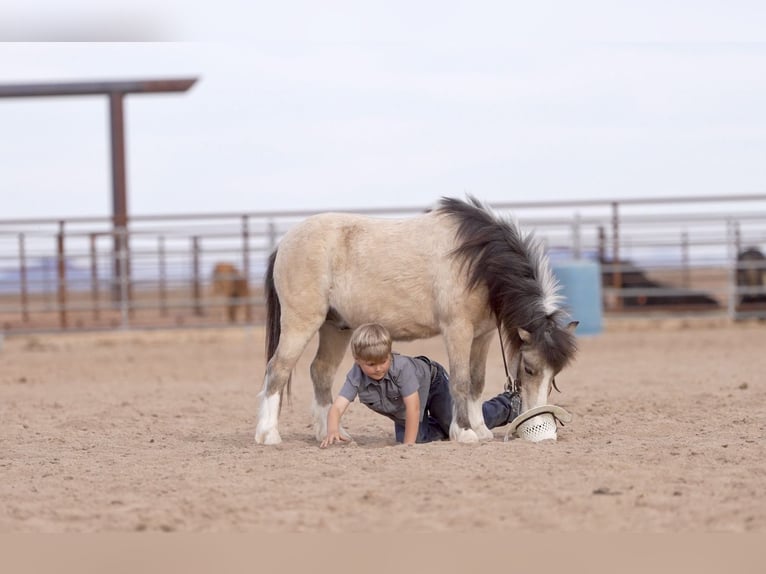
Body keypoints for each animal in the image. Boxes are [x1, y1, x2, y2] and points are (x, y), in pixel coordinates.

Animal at [255, 196, 578, 445]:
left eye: (555, 375)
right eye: (529, 368)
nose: (539, 420)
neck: (476, 258)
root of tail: (284, 243)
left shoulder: (482, 336)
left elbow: (476, 381)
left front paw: (481, 430)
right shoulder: (457, 330)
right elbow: (461, 380)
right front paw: (465, 433)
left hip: (336, 328)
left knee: (320, 372)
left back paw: (332, 434)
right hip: (301, 324)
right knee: (277, 370)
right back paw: (268, 435)